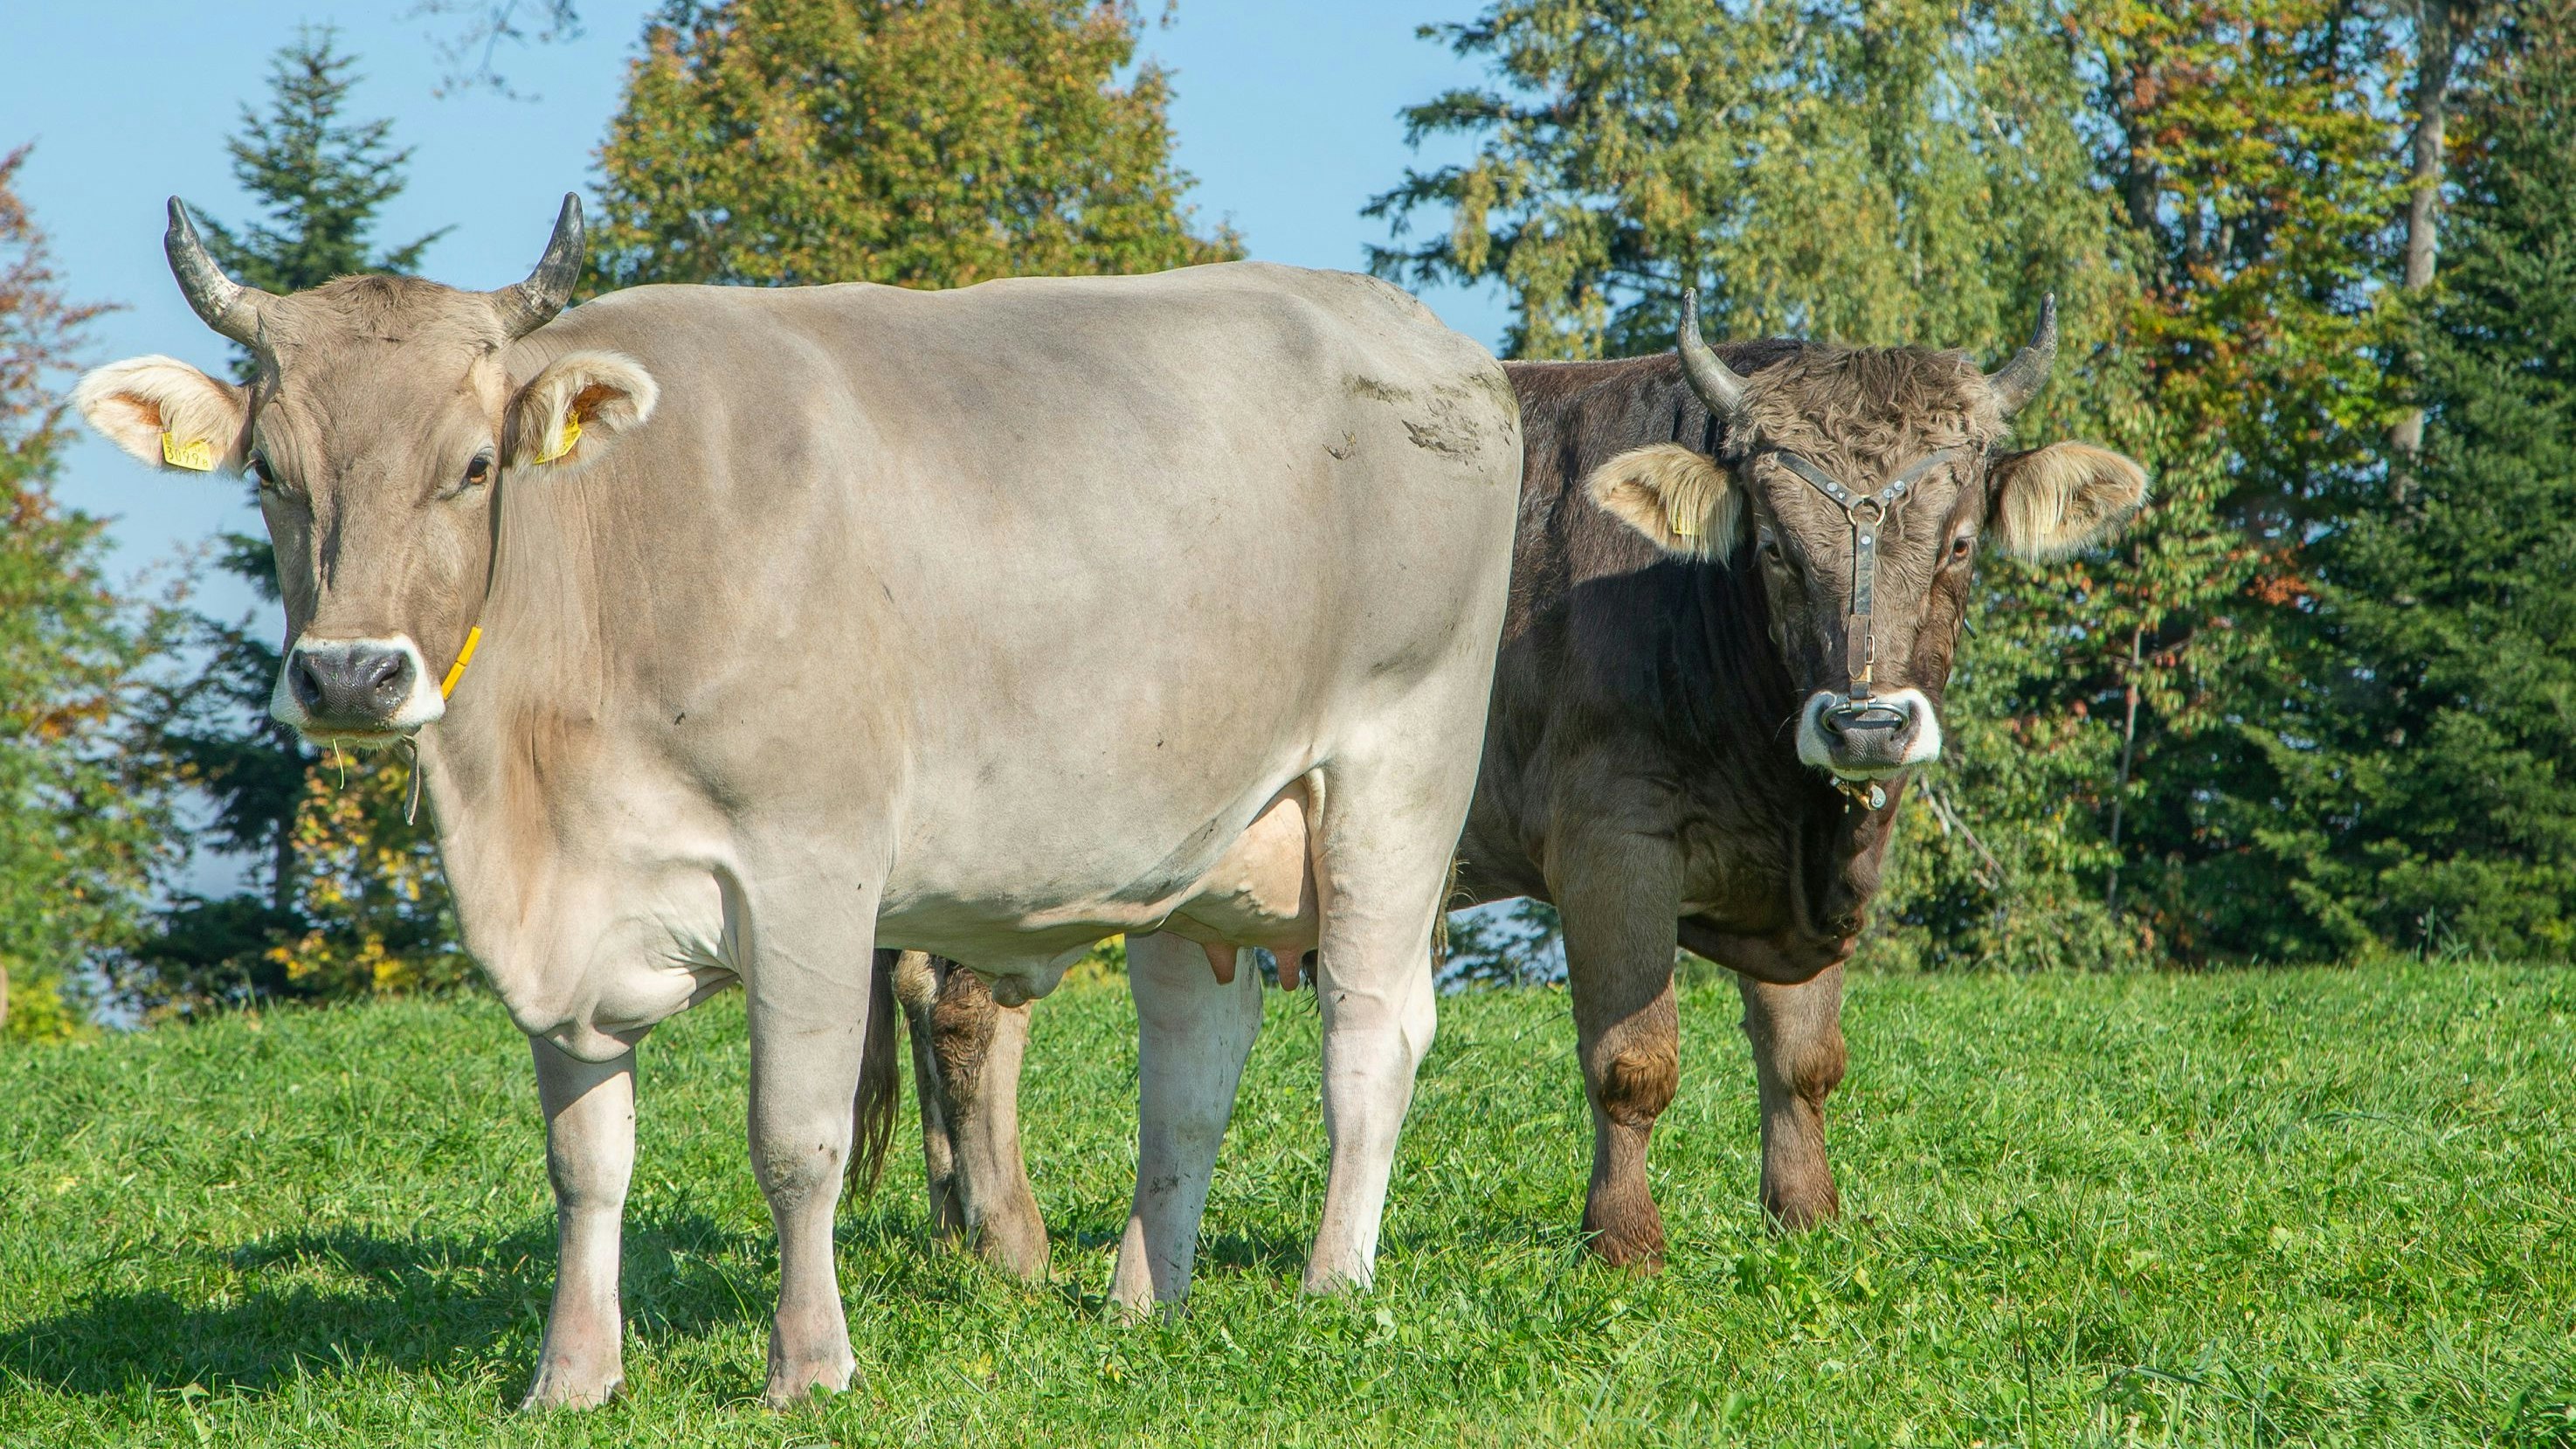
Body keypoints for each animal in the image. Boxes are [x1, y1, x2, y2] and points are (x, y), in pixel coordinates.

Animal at [896, 300, 2143, 1276]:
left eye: (1963, 544)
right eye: (1776, 549)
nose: (1867, 721)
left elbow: (1803, 1056)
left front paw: (1808, 1221)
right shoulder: (1610, 845)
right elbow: (1633, 1060)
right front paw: (1624, 1244)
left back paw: (961, 1226)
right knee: (966, 1006)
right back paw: (1011, 1245)